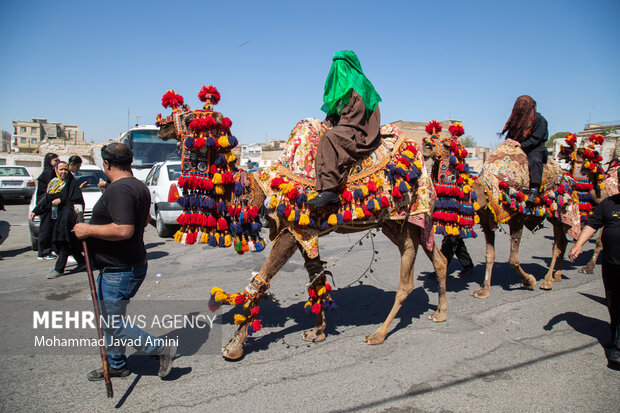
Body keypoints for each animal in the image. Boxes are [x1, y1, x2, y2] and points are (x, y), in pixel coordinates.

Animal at [154, 85, 446, 358]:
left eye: (190, 115)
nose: (161, 125)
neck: (258, 189)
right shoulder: (303, 234)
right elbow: (316, 278)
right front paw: (317, 333)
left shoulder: (293, 229)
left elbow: (261, 278)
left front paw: (233, 346)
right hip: (397, 223)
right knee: (437, 257)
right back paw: (440, 313)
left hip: (409, 214)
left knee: (407, 278)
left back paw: (378, 334)